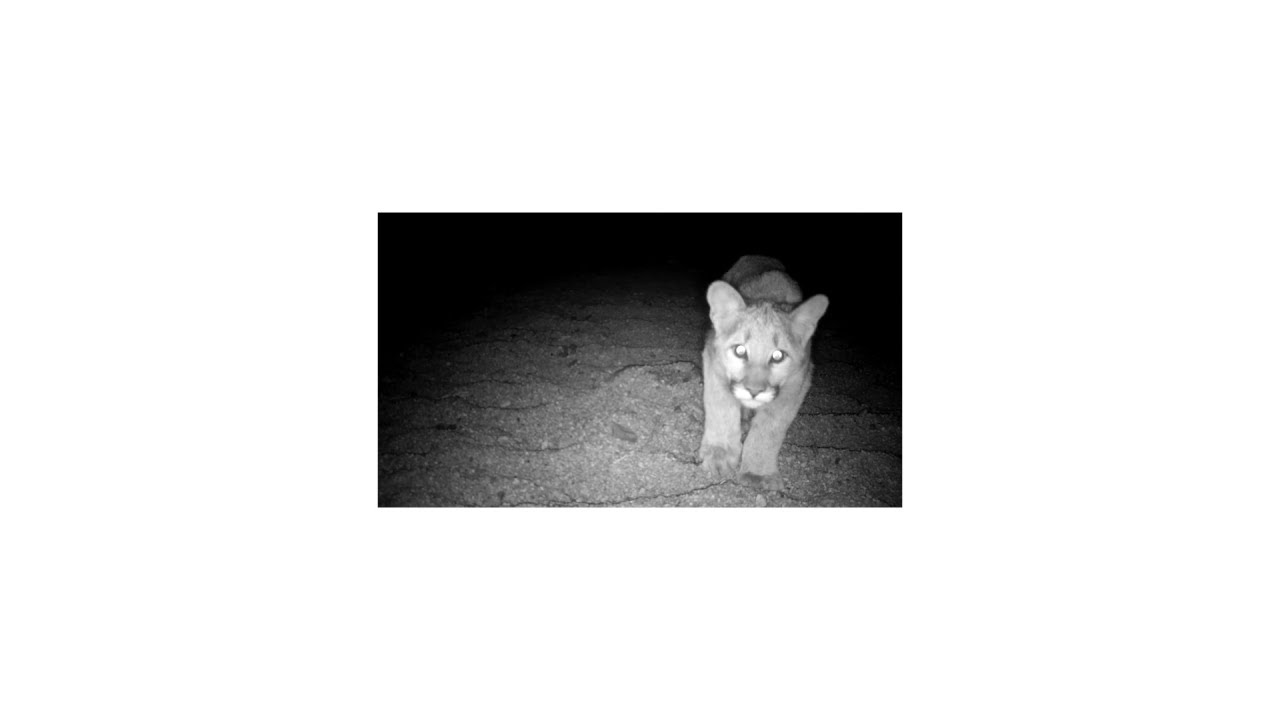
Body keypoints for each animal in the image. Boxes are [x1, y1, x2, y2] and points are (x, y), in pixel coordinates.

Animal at [698, 255, 830, 491]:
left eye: (778, 356)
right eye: (740, 351)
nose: (754, 391)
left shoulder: (798, 382)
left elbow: (770, 428)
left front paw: (757, 474)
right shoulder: (714, 362)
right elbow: (721, 408)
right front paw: (720, 456)